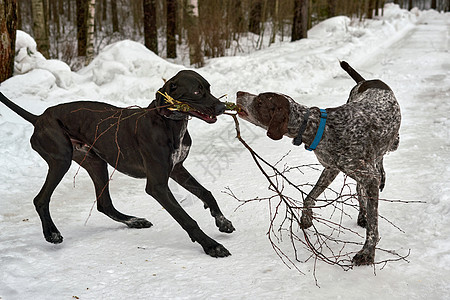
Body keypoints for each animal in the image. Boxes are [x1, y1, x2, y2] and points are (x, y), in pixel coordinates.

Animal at [1, 70, 236, 258]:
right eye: (196, 92)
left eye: (208, 88)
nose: (222, 106)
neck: (169, 123)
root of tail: (39, 117)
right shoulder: (157, 186)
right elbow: (187, 219)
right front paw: (211, 246)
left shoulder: (176, 169)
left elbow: (206, 193)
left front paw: (222, 221)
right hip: (61, 159)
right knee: (41, 199)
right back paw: (52, 233)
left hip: (96, 163)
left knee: (104, 204)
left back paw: (133, 221)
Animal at [236, 61, 400, 264]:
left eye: (259, 101)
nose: (239, 92)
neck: (319, 127)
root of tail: (367, 81)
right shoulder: (331, 168)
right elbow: (309, 196)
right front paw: (306, 218)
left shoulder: (366, 175)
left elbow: (373, 225)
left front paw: (367, 252)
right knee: (362, 184)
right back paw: (363, 212)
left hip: (390, 145)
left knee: (383, 158)